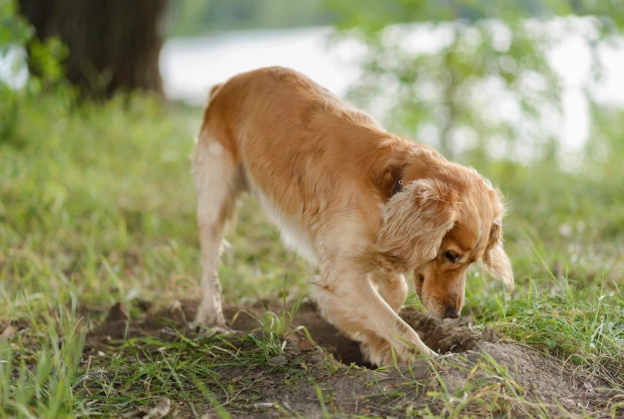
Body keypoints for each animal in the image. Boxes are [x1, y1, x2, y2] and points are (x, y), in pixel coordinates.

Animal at [194, 67, 512, 366]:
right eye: (450, 255)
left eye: (471, 262)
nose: (452, 314)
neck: (390, 189)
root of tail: (227, 83)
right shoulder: (343, 273)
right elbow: (399, 325)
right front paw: (427, 359)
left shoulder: (381, 249)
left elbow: (394, 296)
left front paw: (376, 346)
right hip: (214, 198)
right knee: (209, 267)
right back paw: (212, 320)